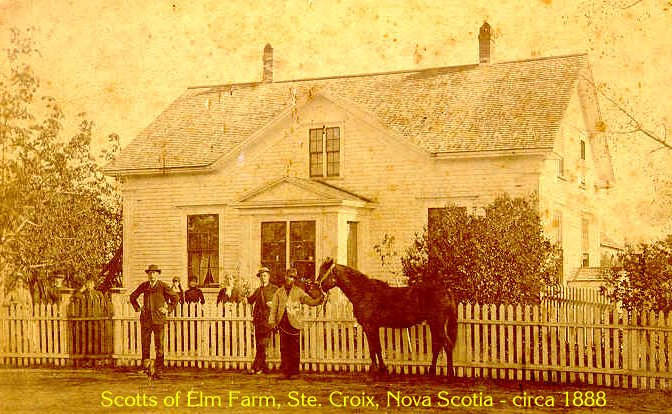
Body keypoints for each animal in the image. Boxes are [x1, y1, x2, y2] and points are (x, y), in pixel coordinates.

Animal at [316, 258, 456, 376]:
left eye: (323, 272)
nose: (315, 286)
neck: (364, 292)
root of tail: (446, 291)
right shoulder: (373, 327)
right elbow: (375, 348)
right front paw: (380, 368)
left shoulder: (369, 326)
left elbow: (375, 348)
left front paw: (378, 369)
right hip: (435, 324)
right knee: (438, 345)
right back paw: (431, 371)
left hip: (437, 324)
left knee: (447, 345)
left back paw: (449, 374)